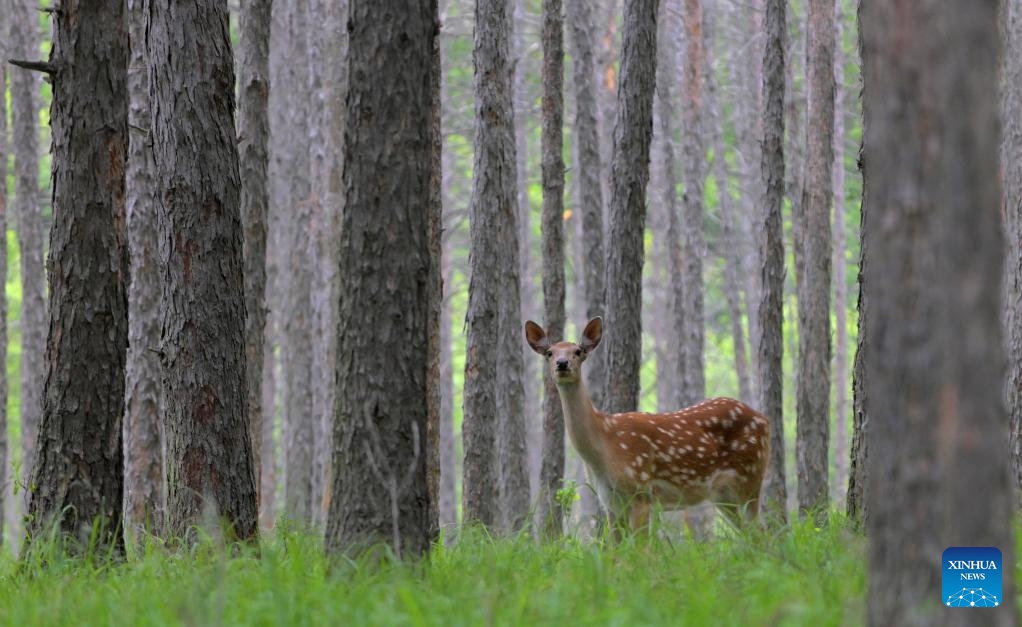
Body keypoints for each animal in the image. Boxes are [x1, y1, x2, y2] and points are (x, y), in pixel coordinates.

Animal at [525, 317, 770, 534]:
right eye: (549, 352)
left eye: (578, 351)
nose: (562, 364)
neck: (604, 445)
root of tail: (764, 419)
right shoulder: (611, 502)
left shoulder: (641, 492)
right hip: (723, 495)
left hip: (751, 476)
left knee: (761, 533)